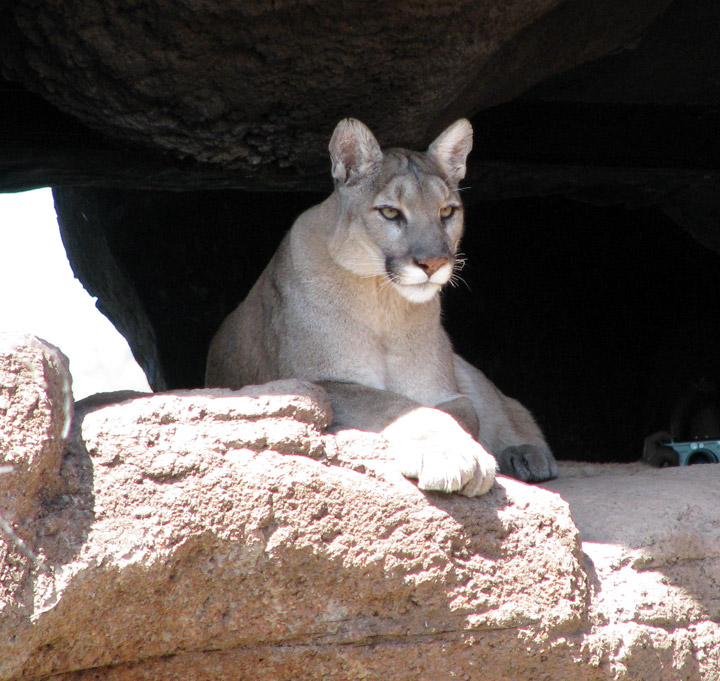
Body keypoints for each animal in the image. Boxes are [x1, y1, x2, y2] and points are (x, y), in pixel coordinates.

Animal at [207, 118, 556, 494]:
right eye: (390, 212)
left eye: (447, 211)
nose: (433, 262)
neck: (383, 303)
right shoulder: (317, 382)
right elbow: (398, 406)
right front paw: (451, 454)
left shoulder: (441, 388)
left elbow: (464, 411)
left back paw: (528, 453)